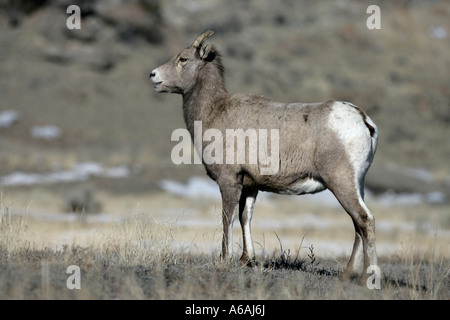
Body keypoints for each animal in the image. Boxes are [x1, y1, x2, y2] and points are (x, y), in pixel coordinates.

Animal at [149, 29, 378, 280]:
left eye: (183, 59)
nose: (153, 75)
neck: (214, 111)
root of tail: (363, 120)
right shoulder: (250, 186)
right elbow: (245, 217)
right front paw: (245, 260)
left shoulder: (229, 182)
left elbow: (227, 219)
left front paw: (224, 259)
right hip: (357, 185)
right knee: (357, 224)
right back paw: (347, 274)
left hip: (341, 182)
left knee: (364, 220)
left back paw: (366, 277)